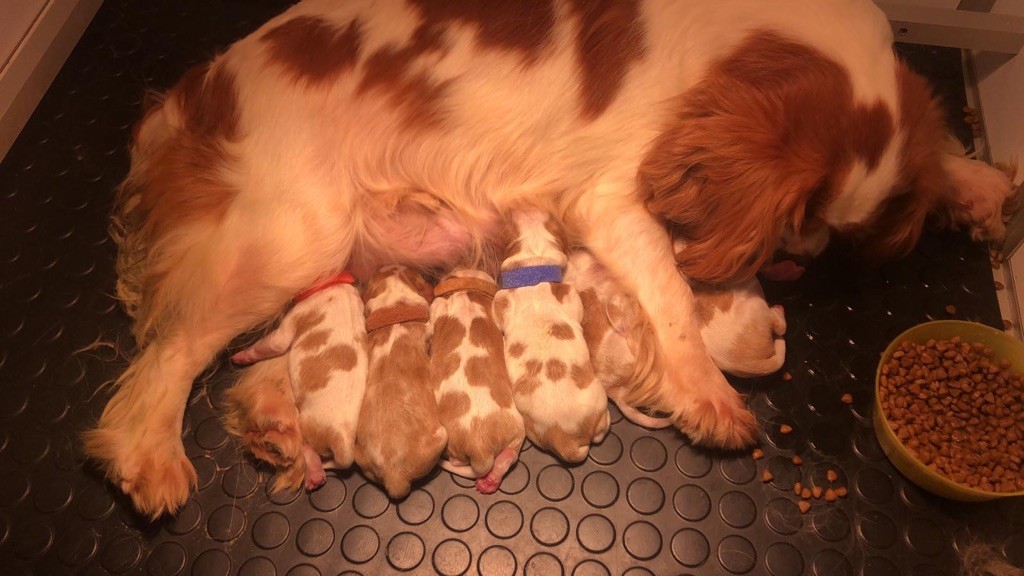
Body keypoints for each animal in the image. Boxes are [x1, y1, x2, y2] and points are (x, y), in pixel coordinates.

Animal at [230, 268, 366, 487]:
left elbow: (269, 345)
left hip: (303, 423)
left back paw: (313, 474)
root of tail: (342, 438)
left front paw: (238, 357)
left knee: (303, 446)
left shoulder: (288, 324)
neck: (332, 283)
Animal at [430, 266, 528, 491]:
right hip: (517, 432)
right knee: (506, 458)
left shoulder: (437, 307)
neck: (468, 291)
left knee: (457, 460)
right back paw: (490, 480)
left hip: (455, 445)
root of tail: (480, 448)